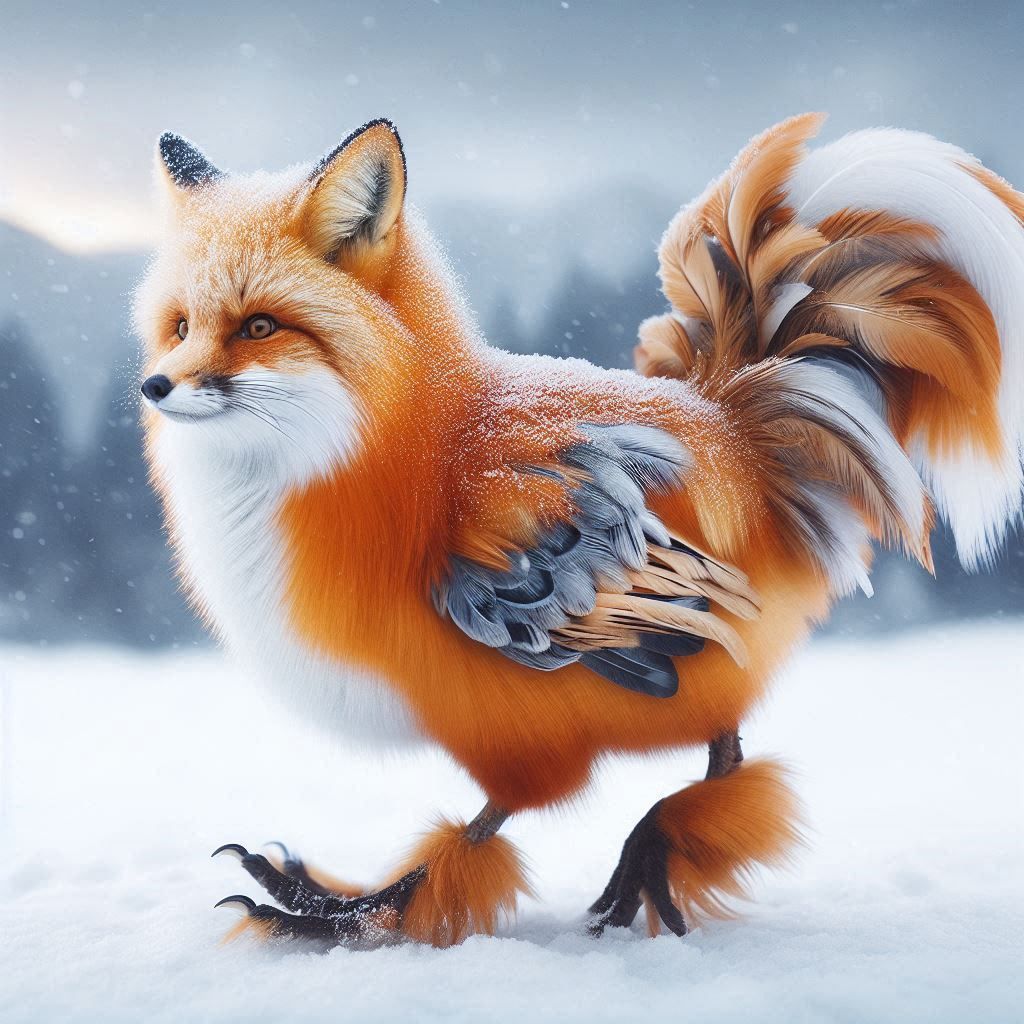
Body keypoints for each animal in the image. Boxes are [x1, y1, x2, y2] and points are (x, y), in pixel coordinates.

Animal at [136, 113, 1024, 948]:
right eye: (179, 327)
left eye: (259, 327)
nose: (155, 386)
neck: (386, 456)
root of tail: (734, 426)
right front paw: (323, 897)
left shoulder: (516, 743)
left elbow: (467, 841)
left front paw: (347, 917)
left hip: (668, 656)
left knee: (727, 754)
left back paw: (650, 855)